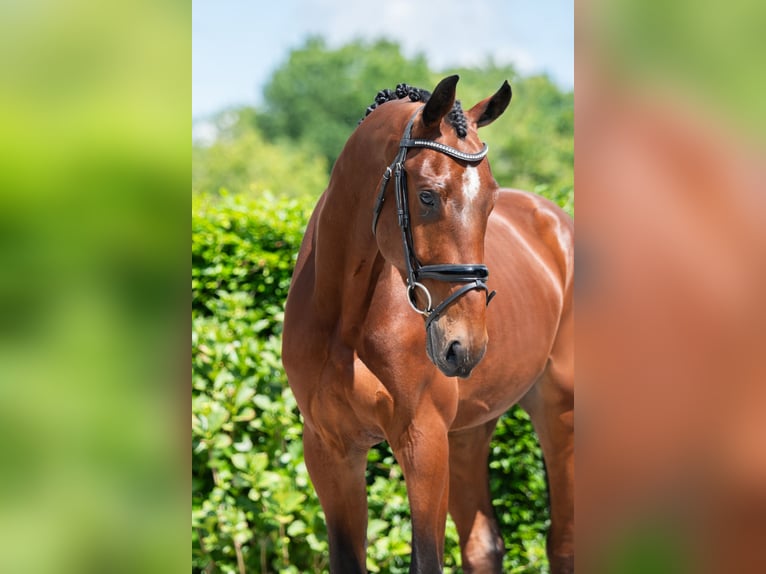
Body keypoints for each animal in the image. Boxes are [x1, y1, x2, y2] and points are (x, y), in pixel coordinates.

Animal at [282, 75, 574, 574]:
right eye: (426, 195)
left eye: (491, 200)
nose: (464, 346)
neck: (344, 319)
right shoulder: (329, 450)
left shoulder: (423, 441)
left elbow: (426, 560)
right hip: (469, 432)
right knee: (483, 545)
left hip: (558, 408)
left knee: (563, 541)